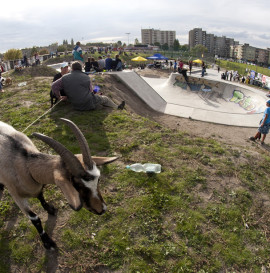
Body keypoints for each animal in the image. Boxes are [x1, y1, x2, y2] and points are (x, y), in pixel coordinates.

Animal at [0, 117, 117, 249]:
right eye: (78, 185)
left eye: (98, 180)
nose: (102, 209)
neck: (23, 161)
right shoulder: (16, 196)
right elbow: (35, 218)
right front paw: (48, 242)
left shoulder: (38, 187)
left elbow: (40, 194)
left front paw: (50, 209)